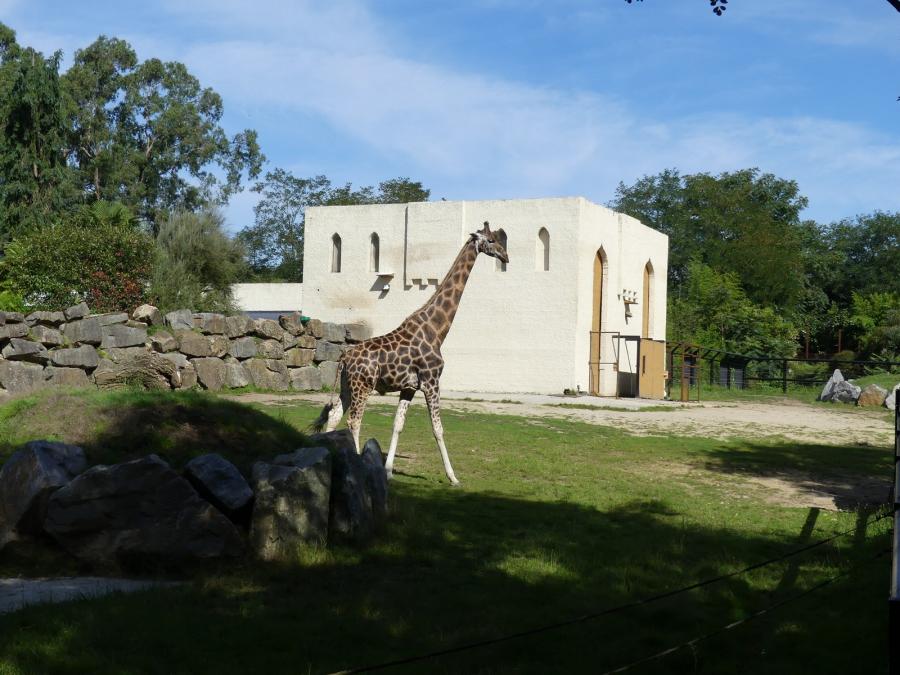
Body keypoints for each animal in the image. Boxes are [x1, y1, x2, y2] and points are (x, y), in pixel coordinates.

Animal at [311, 221, 509, 486]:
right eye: (491, 240)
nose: (506, 257)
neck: (436, 330)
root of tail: (344, 357)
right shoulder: (432, 382)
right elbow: (438, 429)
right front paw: (453, 477)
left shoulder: (409, 387)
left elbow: (398, 424)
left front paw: (388, 471)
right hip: (363, 386)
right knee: (354, 421)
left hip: (346, 386)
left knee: (334, 417)